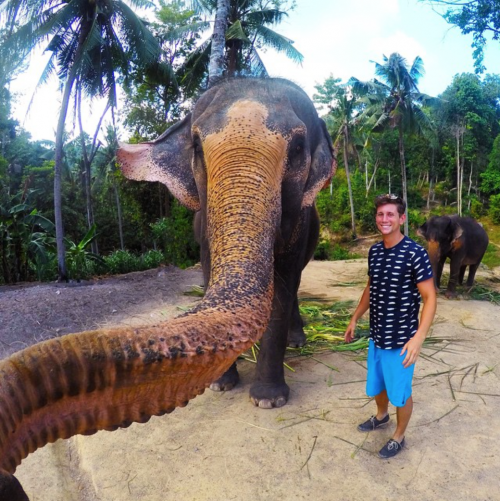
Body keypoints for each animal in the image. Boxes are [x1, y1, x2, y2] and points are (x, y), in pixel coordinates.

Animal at [0, 78, 336, 496]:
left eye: (298, 147)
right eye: (196, 145)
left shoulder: (299, 222)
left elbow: (285, 279)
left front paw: (268, 401)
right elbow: (207, 271)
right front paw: (221, 385)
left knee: (297, 284)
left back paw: (298, 341)